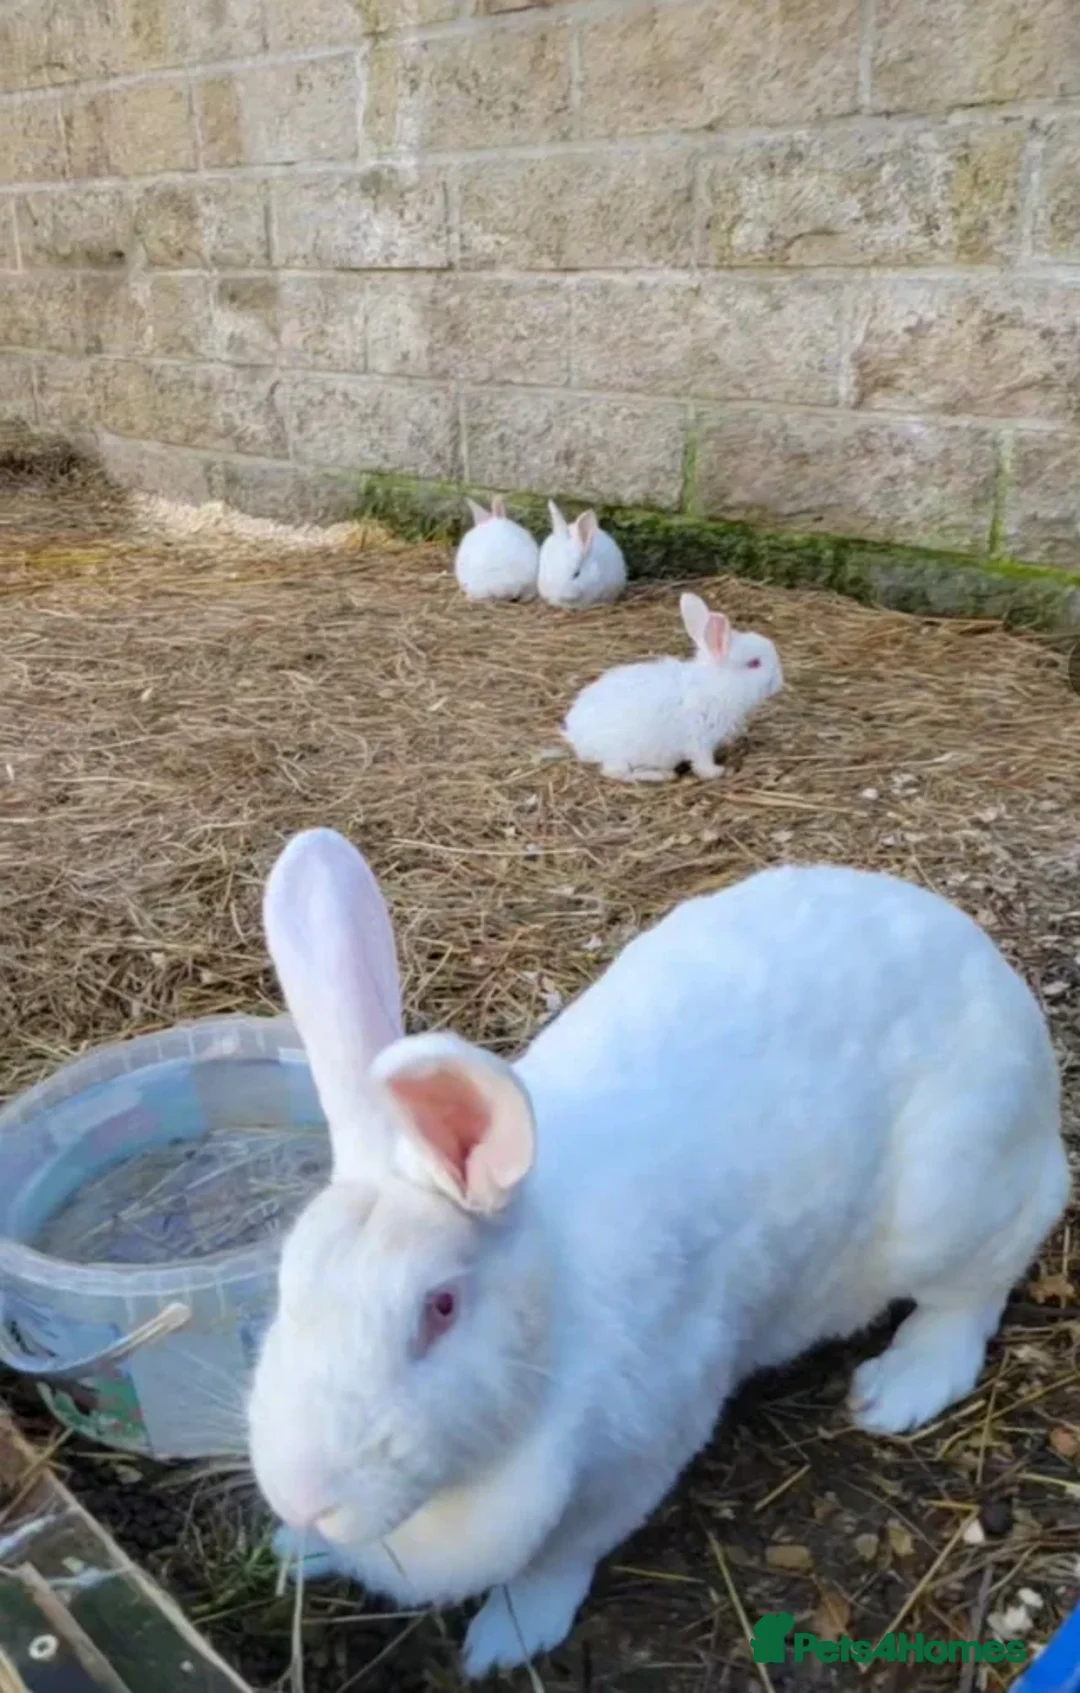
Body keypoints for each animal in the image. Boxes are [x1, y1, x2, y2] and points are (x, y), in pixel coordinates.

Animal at [248, 825, 1068, 1681]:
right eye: (284, 1287)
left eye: (439, 1307)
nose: (304, 1495)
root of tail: (994, 974)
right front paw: (297, 1547)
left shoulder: (631, 1461)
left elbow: (558, 1560)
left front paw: (507, 1637)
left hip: (955, 1202)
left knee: (980, 1283)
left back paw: (898, 1386)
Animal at [562, 591, 783, 782]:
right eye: (754, 663)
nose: (779, 682)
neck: (716, 684)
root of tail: (576, 737)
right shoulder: (699, 738)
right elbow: (702, 761)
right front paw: (716, 772)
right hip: (621, 752)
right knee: (616, 772)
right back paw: (660, 775)